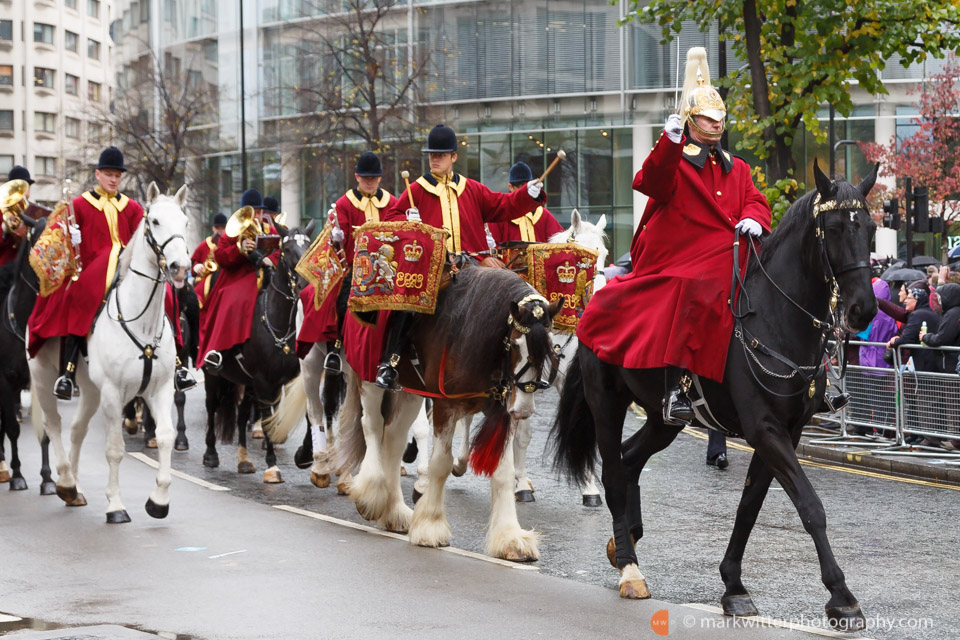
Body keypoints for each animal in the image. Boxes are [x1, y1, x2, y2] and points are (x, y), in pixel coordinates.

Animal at [28, 182, 191, 524]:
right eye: (154, 221)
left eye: (185, 222)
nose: (180, 268)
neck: (141, 321)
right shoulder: (114, 393)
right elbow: (115, 449)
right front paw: (116, 506)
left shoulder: (160, 389)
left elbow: (166, 436)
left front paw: (159, 500)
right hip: (43, 377)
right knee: (54, 425)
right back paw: (64, 480)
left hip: (91, 390)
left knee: (77, 429)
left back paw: (73, 489)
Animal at [266, 264, 560, 560]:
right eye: (516, 344)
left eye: (549, 346)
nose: (524, 408)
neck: (471, 328)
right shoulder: (445, 405)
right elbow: (440, 464)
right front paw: (430, 526)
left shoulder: (500, 411)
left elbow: (502, 473)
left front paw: (510, 539)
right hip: (357, 375)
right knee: (368, 425)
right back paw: (369, 494)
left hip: (408, 391)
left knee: (394, 439)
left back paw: (393, 511)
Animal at [556, 162, 876, 632]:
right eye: (833, 228)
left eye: (870, 228)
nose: (863, 310)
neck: (775, 317)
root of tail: (593, 299)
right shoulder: (765, 429)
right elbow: (810, 505)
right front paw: (842, 597)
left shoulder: (786, 432)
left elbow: (749, 507)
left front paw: (734, 586)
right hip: (606, 404)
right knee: (613, 473)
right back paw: (631, 569)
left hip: (662, 420)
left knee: (631, 459)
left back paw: (625, 539)